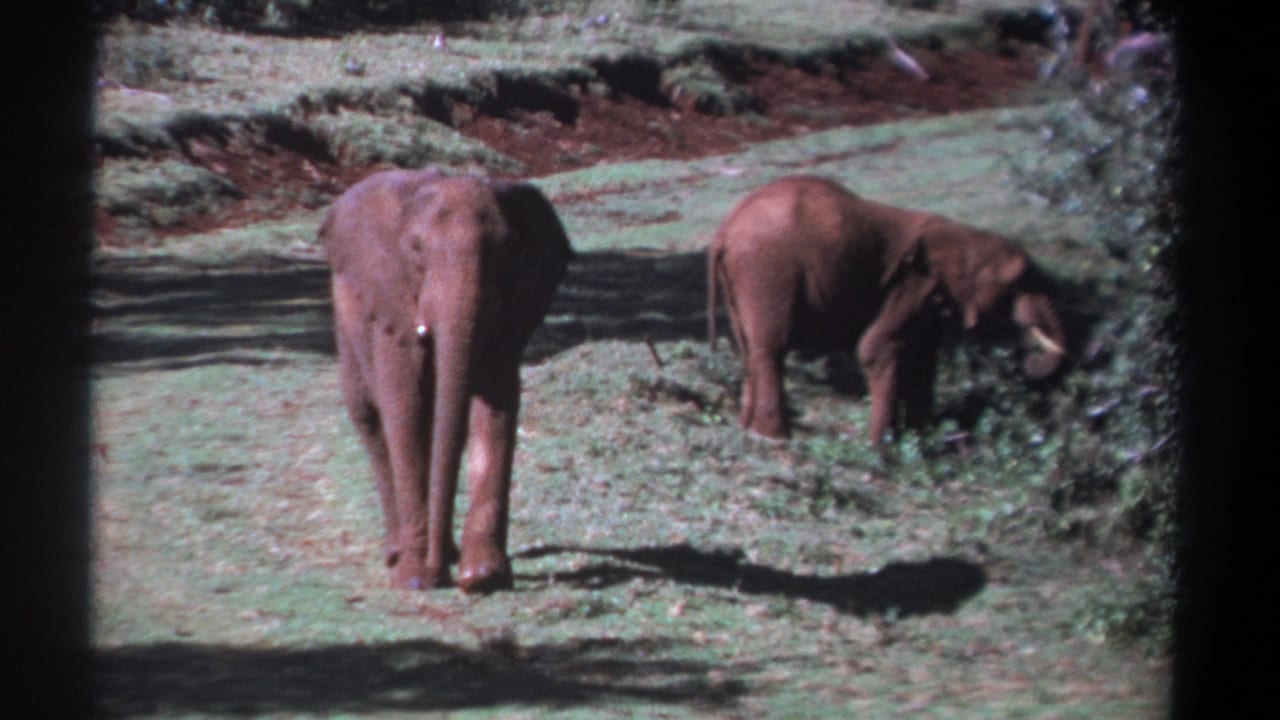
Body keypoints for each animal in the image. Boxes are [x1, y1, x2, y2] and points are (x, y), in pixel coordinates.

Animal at [322, 168, 572, 593]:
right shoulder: (393, 303)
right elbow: (403, 406)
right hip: (344, 320)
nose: (439, 572)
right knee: (369, 416)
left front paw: (483, 577)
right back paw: (397, 554)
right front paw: (415, 579)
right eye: (416, 249)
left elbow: (497, 402)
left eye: (508, 251)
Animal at [707, 175, 1067, 444]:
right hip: (768, 271)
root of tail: (725, 230)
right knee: (770, 347)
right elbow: (877, 348)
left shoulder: (928, 294)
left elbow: (924, 356)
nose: (1029, 356)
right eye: (1017, 281)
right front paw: (885, 449)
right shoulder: (913, 283)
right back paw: (775, 437)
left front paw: (925, 437)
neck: (959, 235)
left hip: (744, 276)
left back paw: (748, 428)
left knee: (749, 346)